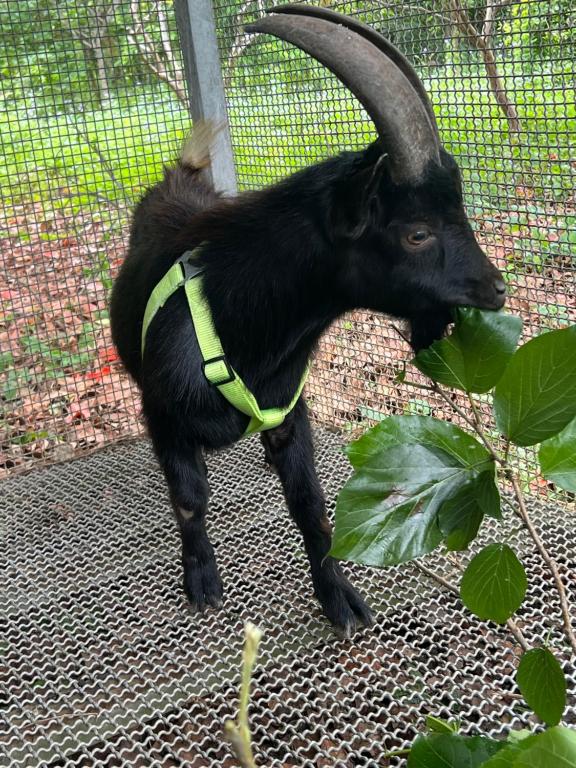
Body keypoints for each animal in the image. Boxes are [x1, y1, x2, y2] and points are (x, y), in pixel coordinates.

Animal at [110, 6, 506, 636]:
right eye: (417, 232)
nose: (496, 289)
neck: (238, 326)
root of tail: (180, 177)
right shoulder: (164, 415)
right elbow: (191, 498)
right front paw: (202, 581)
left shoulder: (288, 413)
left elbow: (311, 507)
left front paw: (339, 596)